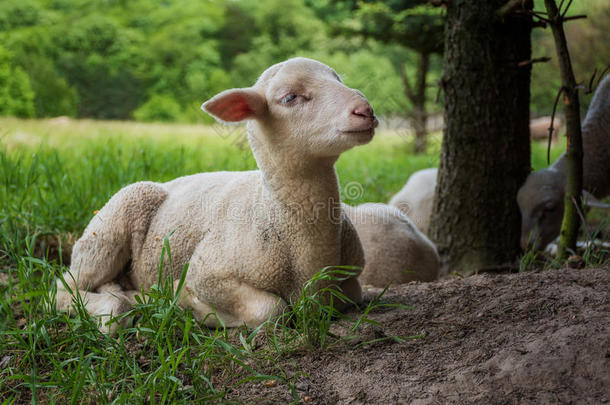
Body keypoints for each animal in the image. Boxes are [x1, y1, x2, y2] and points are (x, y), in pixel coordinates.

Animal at [54, 58, 378, 332]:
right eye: (290, 97)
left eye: (337, 79)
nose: (366, 111)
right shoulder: (208, 273)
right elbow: (270, 310)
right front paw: (188, 302)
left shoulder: (351, 277)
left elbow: (349, 294)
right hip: (109, 226)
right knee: (63, 290)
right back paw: (118, 306)